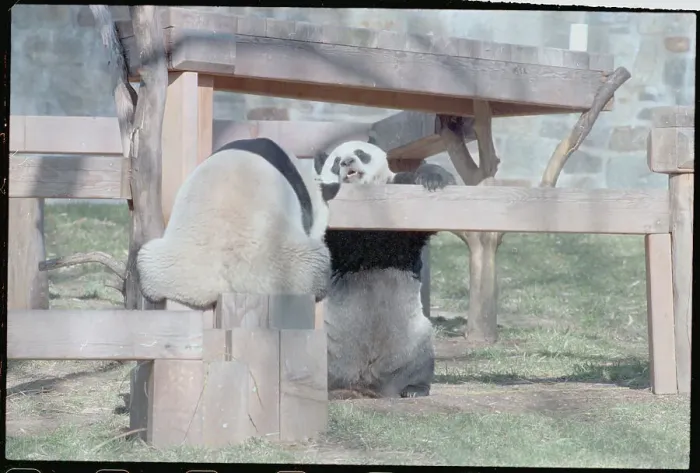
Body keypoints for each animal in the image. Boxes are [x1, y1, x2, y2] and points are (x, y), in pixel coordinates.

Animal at [315, 140, 456, 398]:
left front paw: (433, 177)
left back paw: (414, 389)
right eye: (335, 160)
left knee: (420, 361)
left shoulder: (397, 208)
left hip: (413, 341)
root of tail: (364, 384)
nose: (347, 162)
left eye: (360, 153)